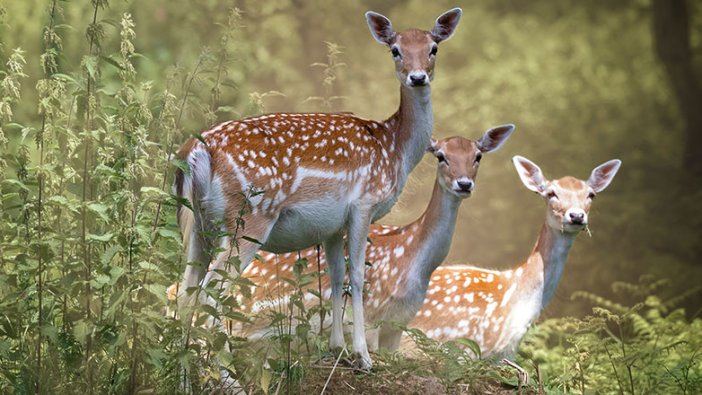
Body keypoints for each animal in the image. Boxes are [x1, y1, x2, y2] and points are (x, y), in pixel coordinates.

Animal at [174, 7, 464, 372]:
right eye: (395, 50)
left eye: (433, 48)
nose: (417, 77)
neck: (394, 149)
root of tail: (198, 150)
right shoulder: (364, 204)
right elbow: (358, 276)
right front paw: (363, 356)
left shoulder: (331, 224)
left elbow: (336, 276)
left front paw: (337, 347)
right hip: (249, 217)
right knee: (207, 293)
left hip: (198, 223)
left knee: (186, 292)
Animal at [217, 124, 516, 350]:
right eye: (441, 156)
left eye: (478, 156)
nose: (464, 184)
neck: (414, 263)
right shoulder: (372, 317)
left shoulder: (399, 325)